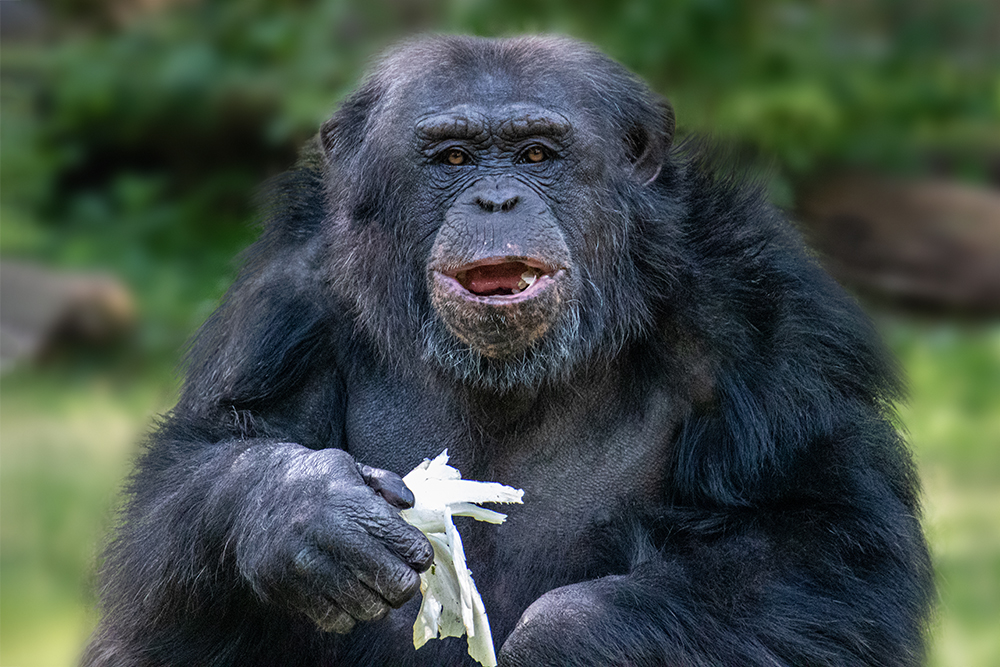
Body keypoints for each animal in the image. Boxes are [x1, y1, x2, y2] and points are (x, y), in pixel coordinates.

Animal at [82, 36, 932, 667]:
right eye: (455, 158)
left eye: (535, 155)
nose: (496, 199)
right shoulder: (286, 297)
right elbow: (198, 461)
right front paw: (305, 507)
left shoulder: (761, 317)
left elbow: (817, 536)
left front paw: (573, 640)